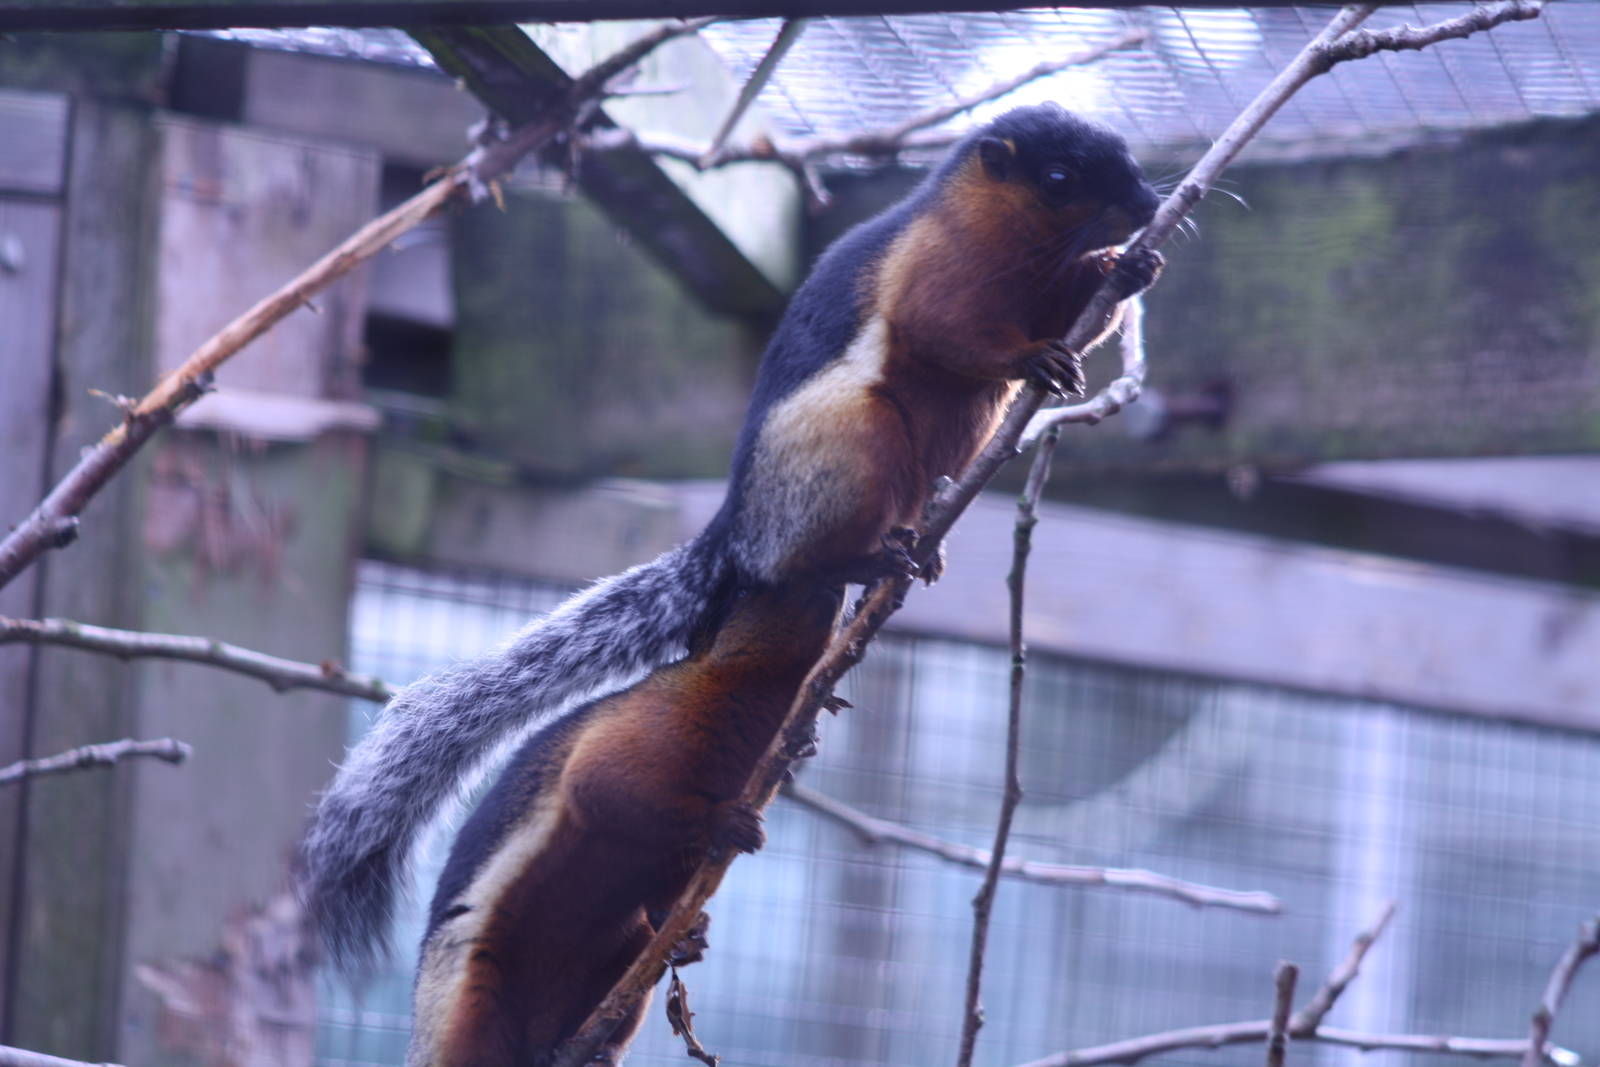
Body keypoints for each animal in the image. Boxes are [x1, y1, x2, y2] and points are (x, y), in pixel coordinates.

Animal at [299, 101, 1163, 973]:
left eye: (1124, 157)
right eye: (1058, 176)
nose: (1149, 202)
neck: (1011, 239)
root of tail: (739, 536)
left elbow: (1076, 308)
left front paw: (1130, 268)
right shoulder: (934, 269)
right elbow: (952, 329)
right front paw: (1036, 351)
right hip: (857, 438)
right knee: (814, 555)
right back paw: (878, 555)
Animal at [406, 581, 844, 1066]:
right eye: (750, 591)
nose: (838, 585)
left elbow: (670, 889)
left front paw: (690, 933)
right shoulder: (651, 727)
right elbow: (605, 787)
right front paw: (725, 820)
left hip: (622, 957)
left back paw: (597, 1050)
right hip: (474, 1003)